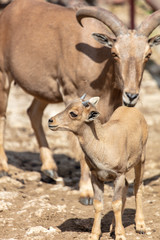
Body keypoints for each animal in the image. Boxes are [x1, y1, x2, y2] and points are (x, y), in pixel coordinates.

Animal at [0, 0, 159, 204]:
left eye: (148, 54)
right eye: (115, 53)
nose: (131, 96)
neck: (100, 63)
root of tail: (7, 11)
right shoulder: (71, 95)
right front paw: (86, 192)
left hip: (43, 91)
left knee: (33, 112)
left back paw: (49, 169)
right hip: (3, 75)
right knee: (3, 115)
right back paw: (4, 168)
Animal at [48, 95, 148, 240]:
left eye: (73, 113)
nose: (51, 121)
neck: (103, 143)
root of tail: (132, 110)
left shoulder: (119, 174)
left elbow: (116, 203)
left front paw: (120, 235)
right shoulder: (96, 176)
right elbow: (98, 204)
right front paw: (94, 234)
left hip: (141, 160)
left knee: (137, 186)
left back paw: (140, 226)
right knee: (127, 185)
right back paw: (112, 228)